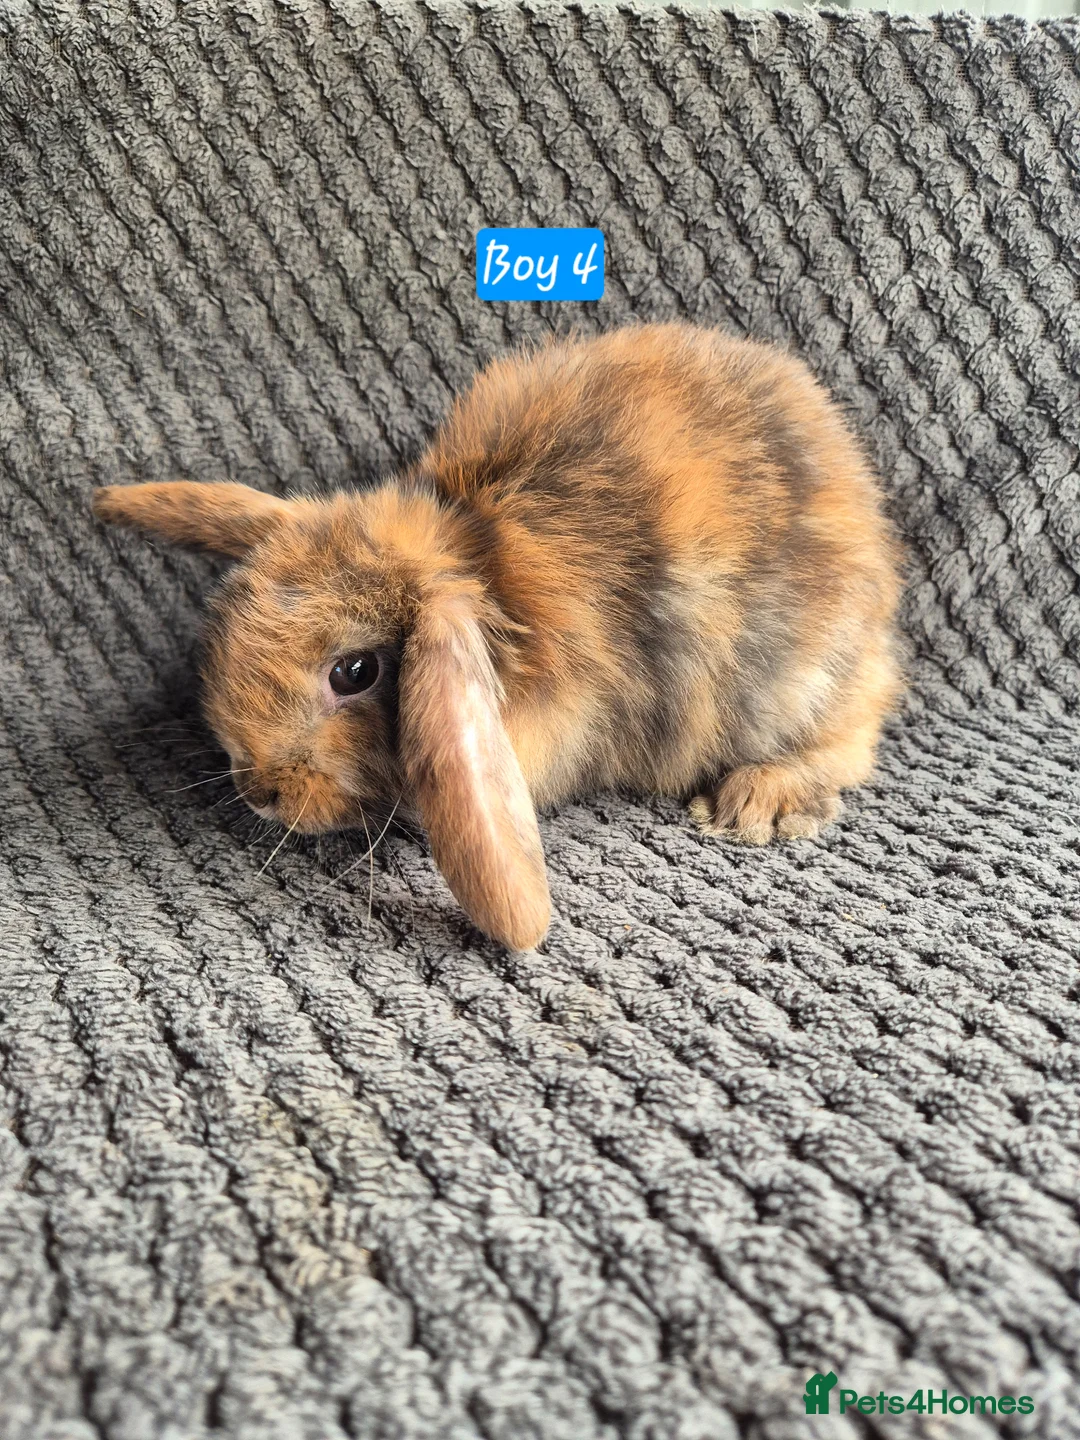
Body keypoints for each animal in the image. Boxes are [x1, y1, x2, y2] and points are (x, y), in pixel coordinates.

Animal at [93, 322, 903, 951]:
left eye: (355, 672)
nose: (256, 789)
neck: (485, 573)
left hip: (804, 677)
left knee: (852, 735)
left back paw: (755, 804)